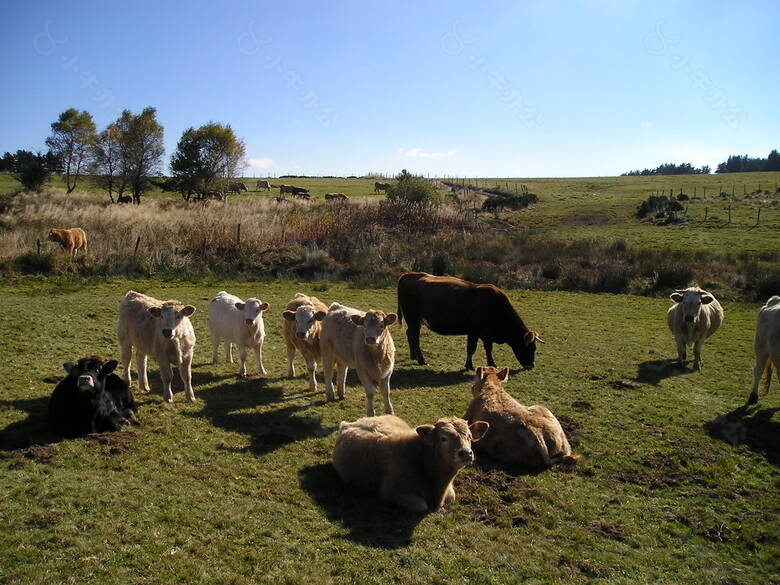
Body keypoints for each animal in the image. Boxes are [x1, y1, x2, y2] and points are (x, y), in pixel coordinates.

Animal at [396, 270, 544, 370]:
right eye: (530, 348)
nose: (531, 365)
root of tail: (408, 275)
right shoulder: (474, 332)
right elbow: (471, 348)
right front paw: (469, 365)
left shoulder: (486, 334)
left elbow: (488, 349)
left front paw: (492, 364)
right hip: (413, 318)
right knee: (415, 337)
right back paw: (421, 360)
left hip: (413, 321)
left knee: (410, 334)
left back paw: (413, 356)